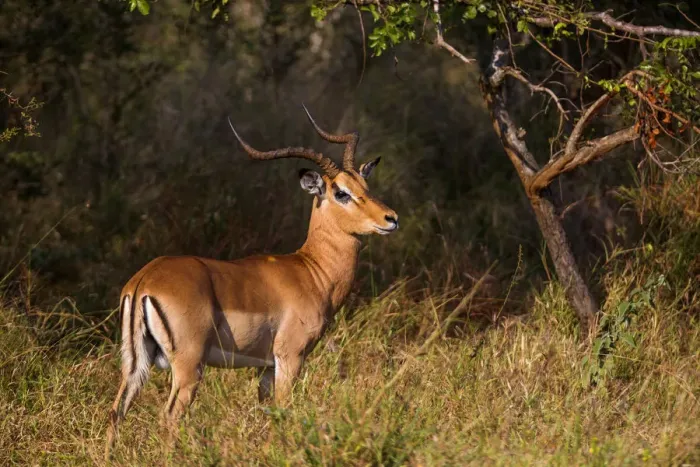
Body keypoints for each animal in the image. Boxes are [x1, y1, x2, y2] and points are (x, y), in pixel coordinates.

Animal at [105, 106, 399, 454]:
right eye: (341, 193)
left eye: (365, 186)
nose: (391, 218)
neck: (312, 271)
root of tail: (144, 281)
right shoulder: (290, 357)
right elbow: (286, 409)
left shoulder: (266, 366)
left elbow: (268, 413)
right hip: (189, 366)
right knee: (169, 416)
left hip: (136, 365)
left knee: (116, 411)